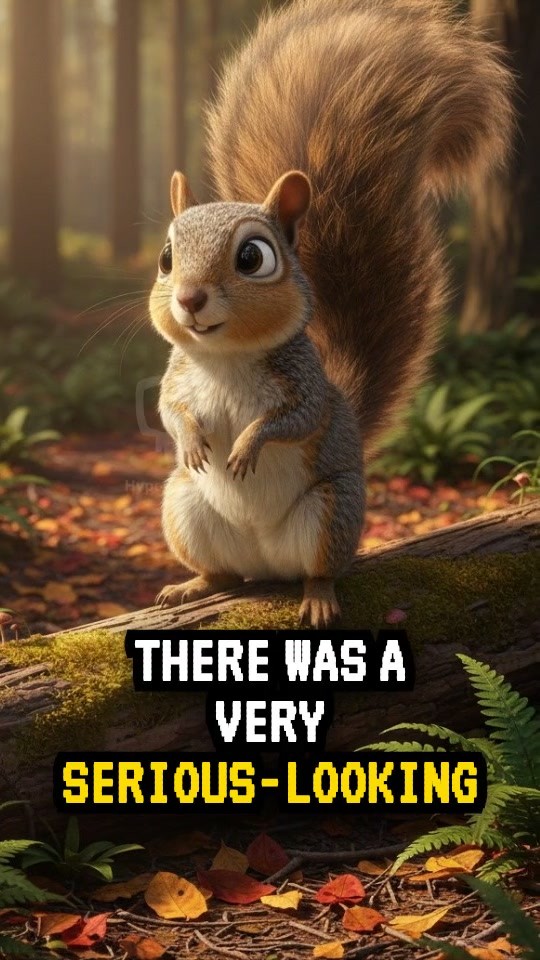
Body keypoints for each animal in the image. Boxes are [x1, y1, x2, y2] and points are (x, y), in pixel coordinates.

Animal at [149, 0, 513, 628]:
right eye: (168, 257)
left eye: (253, 257)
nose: (190, 299)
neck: (225, 358)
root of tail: (266, 565)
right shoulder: (178, 380)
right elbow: (169, 410)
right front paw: (194, 440)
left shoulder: (306, 387)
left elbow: (295, 420)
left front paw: (247, 445)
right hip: (184, 504)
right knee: (223, 573)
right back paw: (193, 584)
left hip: (330, 510)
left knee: (320, 569)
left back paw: (317, 598)